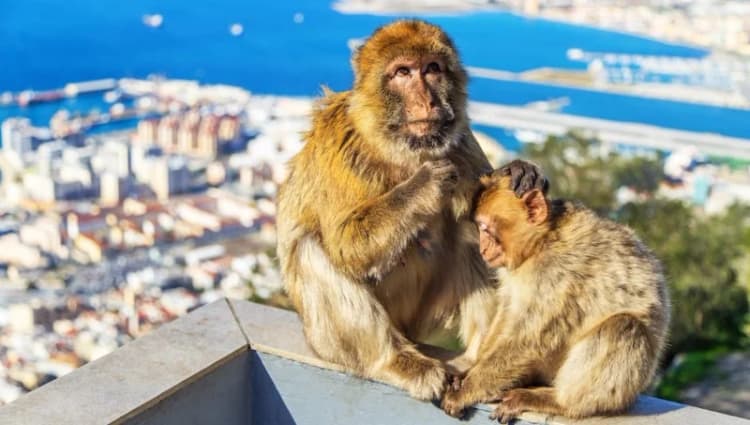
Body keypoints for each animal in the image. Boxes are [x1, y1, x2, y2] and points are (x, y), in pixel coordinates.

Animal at [275, 20, 547, 400]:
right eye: (402, 72)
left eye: (432, 69)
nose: (427, 100)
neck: (401, 148)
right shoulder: (341, 139)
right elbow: (345, 245)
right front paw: (424, 184)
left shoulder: (461, 139)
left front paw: (516, 170)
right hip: (327, 339)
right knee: (310, 248)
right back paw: (394, 362)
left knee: (473, 232)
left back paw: (482, 358)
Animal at [441, 171, 670, 422]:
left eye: (485, 229)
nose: (483, 249)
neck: (542, 241)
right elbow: (509, 308)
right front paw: (469, 372)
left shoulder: (555, 272)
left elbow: (529, 340)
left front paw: (466, 391)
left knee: (624, 326)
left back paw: (559, 402)